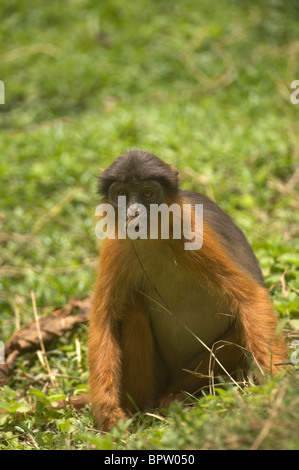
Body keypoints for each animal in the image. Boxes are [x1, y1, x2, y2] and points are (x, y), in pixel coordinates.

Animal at [89, 149, 288, 432]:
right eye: (123, 194)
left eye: (147, 194)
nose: (133, 213)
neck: (153, 236)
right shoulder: (118, 243)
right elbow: (103, 320)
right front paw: (108, 414)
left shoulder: (190, 229)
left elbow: (249, 297)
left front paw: (278, 391)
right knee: (133, 305)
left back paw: (176, 396)